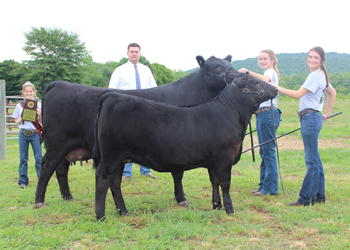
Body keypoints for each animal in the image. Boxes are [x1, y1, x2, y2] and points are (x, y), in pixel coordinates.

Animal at [34, 55, 238, 209]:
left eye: (229, 63)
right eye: (216, 66)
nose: (236, 74)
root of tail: (58, 83)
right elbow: (178, 173)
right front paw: (181, 199)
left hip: (65, 146)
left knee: (61, 168)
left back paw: (67, 197)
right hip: (58, 143)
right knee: (47, 166)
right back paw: (39, 201)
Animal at [91, 71, 278, 220]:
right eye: (255, 82)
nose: (276, 89)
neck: (231, 114)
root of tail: (111, 96)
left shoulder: (213, 162)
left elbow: (214, 182)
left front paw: (217, 206)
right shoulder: (224, 158)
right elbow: (225, 183)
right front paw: (229, 210)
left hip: (120, 159)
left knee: (115, 183)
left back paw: (123, 211)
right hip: (111, 156)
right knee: (102, 180)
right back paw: (100, 216)